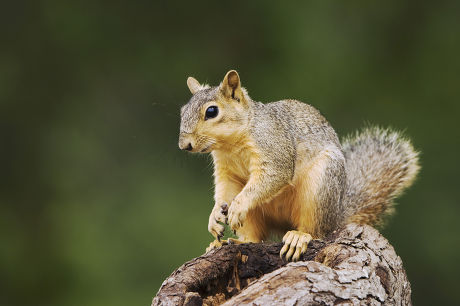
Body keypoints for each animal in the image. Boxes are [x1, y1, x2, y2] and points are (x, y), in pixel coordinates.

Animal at [178, 70, 418, 262]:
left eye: (211, 111)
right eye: (182, 111)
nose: (184, 145)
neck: (231, 145)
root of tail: (337, 214)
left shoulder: (275, 147)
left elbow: (274, 175)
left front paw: (237, 206)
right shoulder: (227, 172)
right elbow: (224, 192)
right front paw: (215, 217)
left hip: (320, 187)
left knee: (316, 230)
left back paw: (298, 237)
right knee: (256, 238)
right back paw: (237, 242)